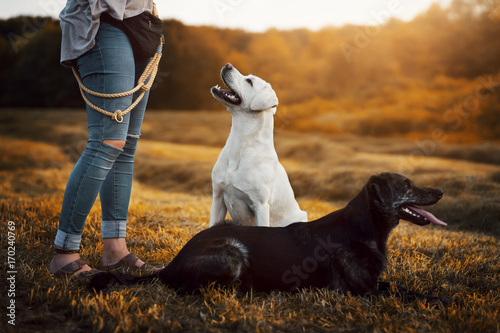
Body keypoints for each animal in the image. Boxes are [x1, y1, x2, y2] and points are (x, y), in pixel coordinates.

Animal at [88, 172, 448, 296]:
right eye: (407, 185)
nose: (441, 192)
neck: (364, 227)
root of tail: (172, 263)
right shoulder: (363, 293)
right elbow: (411, 294)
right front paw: (445, 299)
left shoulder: (374, 285)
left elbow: (402, 287)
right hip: (232, 251)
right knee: (186, 289)